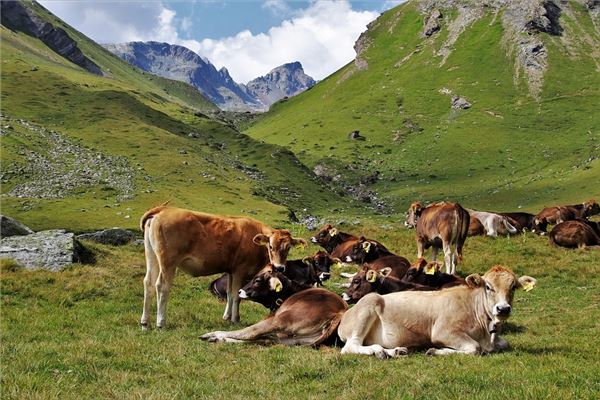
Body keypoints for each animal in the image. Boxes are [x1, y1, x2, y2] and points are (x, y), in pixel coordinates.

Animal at [138, 206, 302, 328]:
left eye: (288, 248)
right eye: (270, 246)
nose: (279, 267)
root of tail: (163, 210)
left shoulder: (230, 271)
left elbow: (229, 294)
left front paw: (226, 317)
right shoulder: (240, 271)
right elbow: (236, 295)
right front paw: (235, 319)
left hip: (152, 256)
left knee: (148, 283)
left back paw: (145, 322)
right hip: (168, 261)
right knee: (162, 286)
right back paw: (161, 322)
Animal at [200, 288, 346, 346]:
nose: (241, 291)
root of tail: (339, 312)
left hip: (280, 321)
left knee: (251, 333)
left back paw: (212, 335)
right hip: (297, 339)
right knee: (266, 340)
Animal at [338, 266, 536, 360]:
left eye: (513, 287)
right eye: (488, 287)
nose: (503, 308)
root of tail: (346, 314)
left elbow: (505, 344)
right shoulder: (443, 331)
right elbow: (475, 348)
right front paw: (435, 351)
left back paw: (396, 351)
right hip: (369, 303)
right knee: (350, 347)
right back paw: (379, 351)